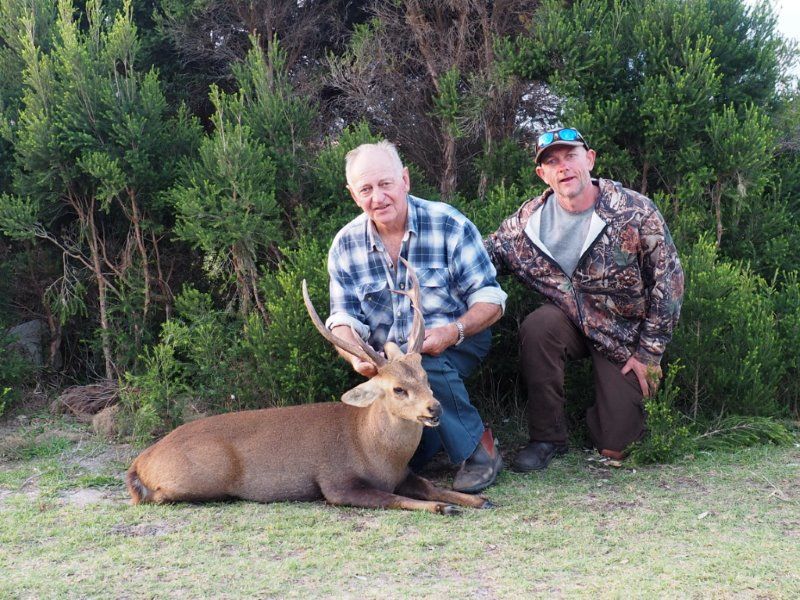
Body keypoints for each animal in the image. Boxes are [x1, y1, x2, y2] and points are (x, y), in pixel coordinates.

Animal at [125, 261, 492, 514]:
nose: (434, 408)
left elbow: (429, 485)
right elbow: (389, 498)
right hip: (203, 476)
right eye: (397, 389)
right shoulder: (335, 481)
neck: (376, 451)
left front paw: (477, 499)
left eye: (425, 379)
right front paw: (444, 507)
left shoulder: (404, 473)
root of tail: (140, 461)